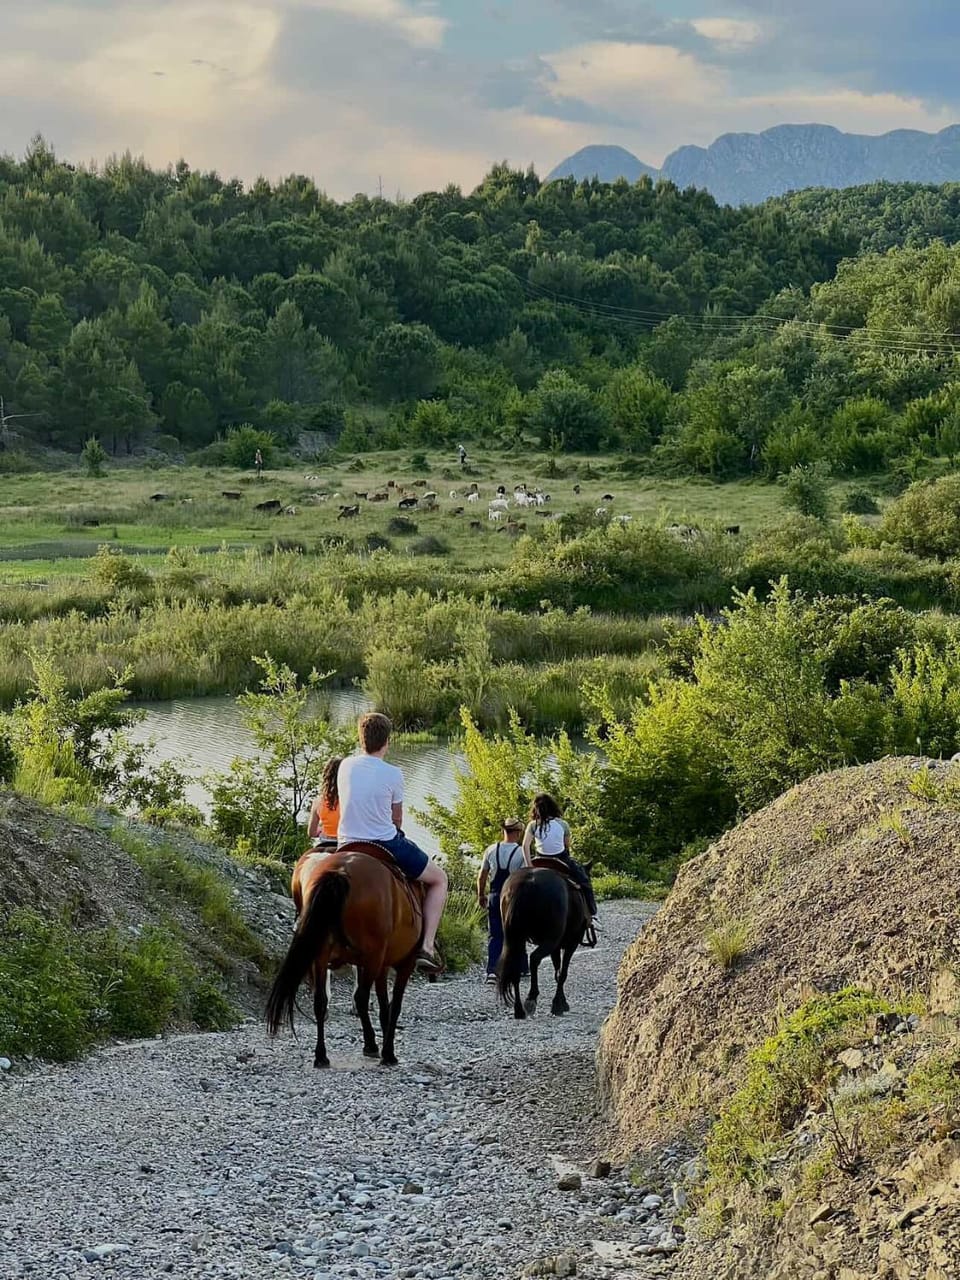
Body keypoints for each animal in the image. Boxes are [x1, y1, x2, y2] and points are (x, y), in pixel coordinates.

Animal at [266, 845, 424, 1067]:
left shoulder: (382, 964)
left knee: (320, 1000)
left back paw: (321, 1055)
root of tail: (340, 871)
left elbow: (384, 1003)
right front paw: (388, 1052)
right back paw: (371, 1046)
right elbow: (393, 1005)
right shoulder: (403, 963)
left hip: (323, 954)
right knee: (360, 997)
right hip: (372, 957)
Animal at [496, 859, 591, 1019]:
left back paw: (519, 1010)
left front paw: (561, 1002)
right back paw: (531, 999)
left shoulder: (556, 947)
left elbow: (557, 971)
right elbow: (562, 973)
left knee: (516, 969)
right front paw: (558, 1005)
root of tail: (526, 883)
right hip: (550, 940)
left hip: (516, 939)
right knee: (534, 959)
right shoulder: (570, 943)